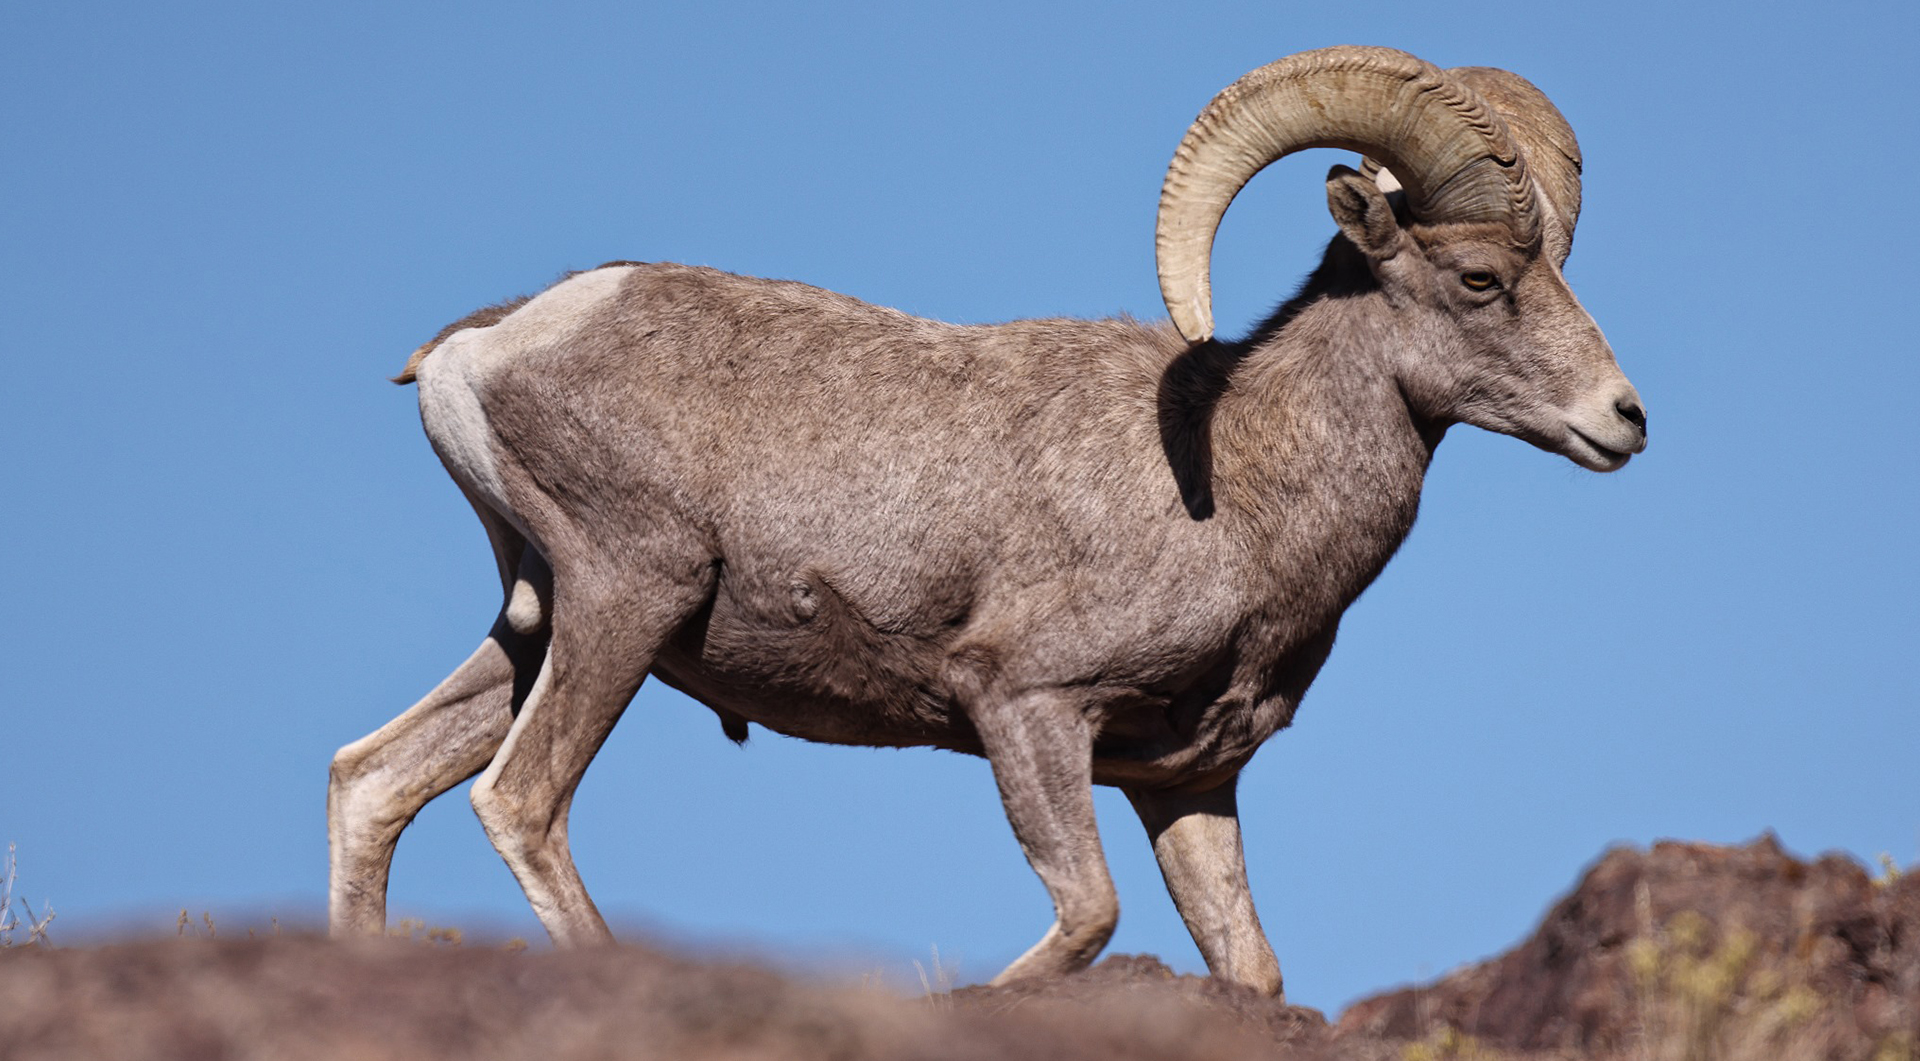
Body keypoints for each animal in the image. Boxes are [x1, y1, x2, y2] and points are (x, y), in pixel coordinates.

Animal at [328, 45, 1645, 1000]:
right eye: (1479, 280)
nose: (1625, 419)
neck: (1240, 483)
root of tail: (483, 347)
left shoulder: (1186, 785)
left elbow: (1252, 968)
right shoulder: (1026, 705)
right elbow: (1088, 914)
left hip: (537, 619)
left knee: (372, 779)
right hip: (628, 599)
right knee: (519, 802)